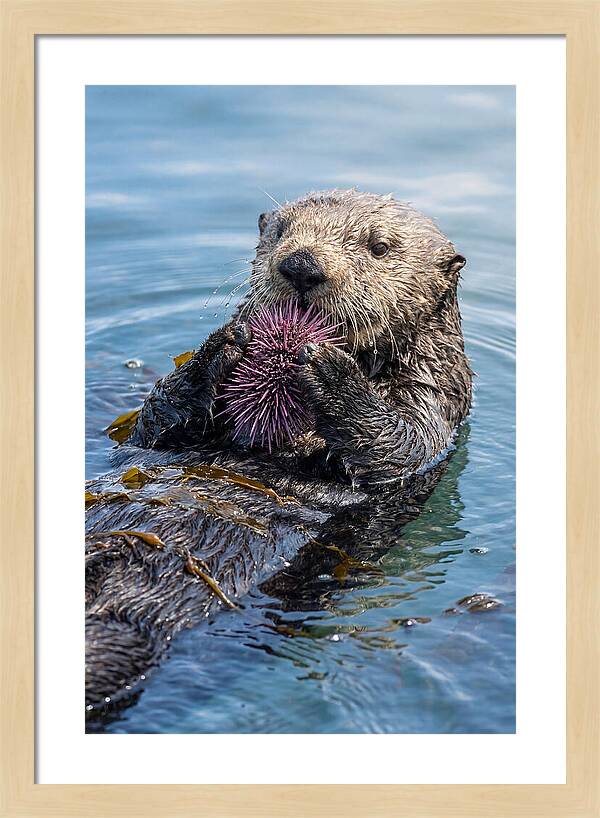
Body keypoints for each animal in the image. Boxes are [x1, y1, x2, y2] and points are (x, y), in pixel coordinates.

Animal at [85, 189, 472, 726]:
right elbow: (153, 424)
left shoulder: (435, 403)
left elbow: (398, 446)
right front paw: (222, 345)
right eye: (281, 231)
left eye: (379, 247)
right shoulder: (156, 435)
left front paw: (331, 372)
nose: (302, 265)